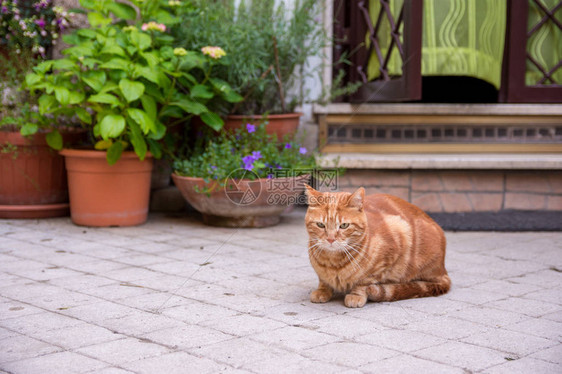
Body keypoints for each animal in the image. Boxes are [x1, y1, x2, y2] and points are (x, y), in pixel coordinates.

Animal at [304, 186, 448, 308]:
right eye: (320, 225)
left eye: (344, 225)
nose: (330, 239)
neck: (333, 263)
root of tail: (442, 268)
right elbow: (323, 279)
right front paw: (322, 291)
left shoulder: (393, 244)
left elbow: (364, 281)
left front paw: (356, 295)